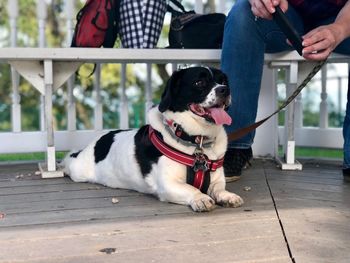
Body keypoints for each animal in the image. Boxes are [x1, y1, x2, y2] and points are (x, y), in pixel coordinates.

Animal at [63, 66, 242, 212]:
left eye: (223, 81)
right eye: (199, 82)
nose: (225, 90)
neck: (197, 141)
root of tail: (98, 140)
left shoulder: (216, 180)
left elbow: (219, 189)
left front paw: (227, 196)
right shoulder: (168, 184)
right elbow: (192, 189)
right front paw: (201, 198)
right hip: (79, 170)